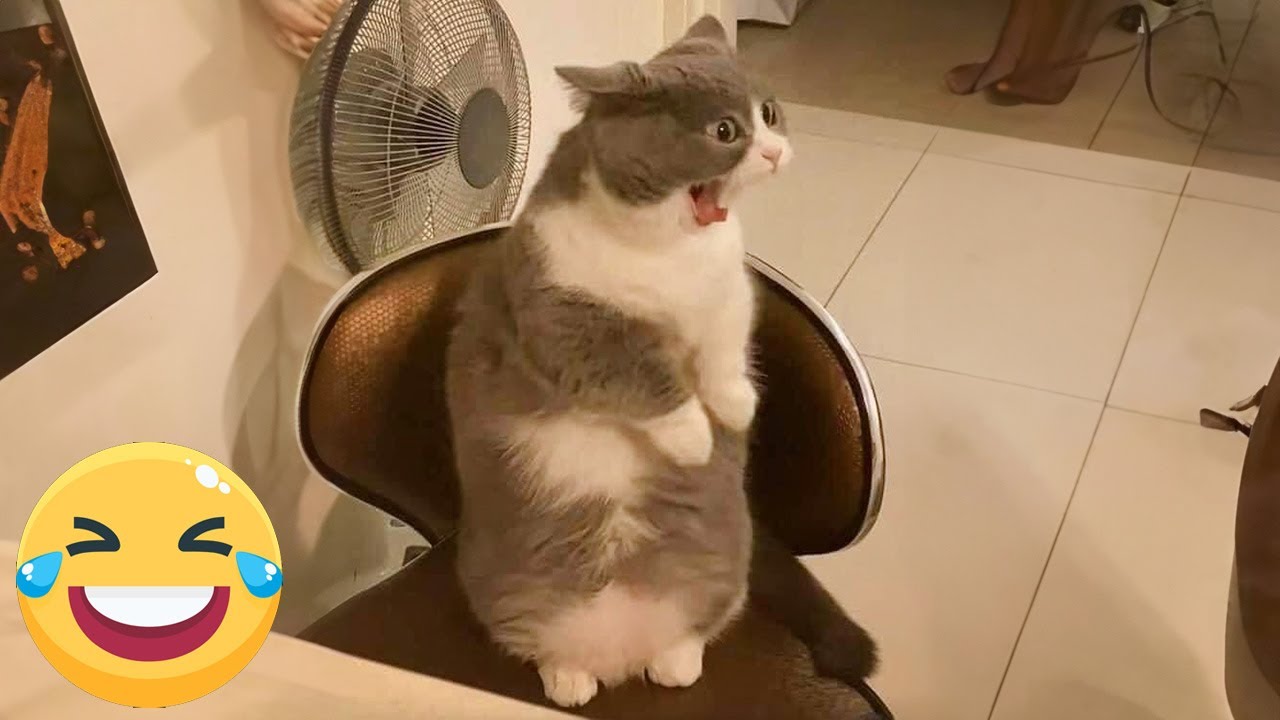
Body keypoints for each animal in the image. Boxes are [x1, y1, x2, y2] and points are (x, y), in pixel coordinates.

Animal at [445, 15, 875, 708]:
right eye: (724, 131)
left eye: (769, 112)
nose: (773, 151)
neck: (671, 254)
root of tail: (622, 651)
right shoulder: (563, 320)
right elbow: (641, 377)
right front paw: (694, 436)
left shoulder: (732, 288)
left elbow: (725, 344)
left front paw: (734, 407)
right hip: (505, 589)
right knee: (546, 647)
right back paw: (570, 678)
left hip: (725, 571)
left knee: (691, 633)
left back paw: (676, 662)